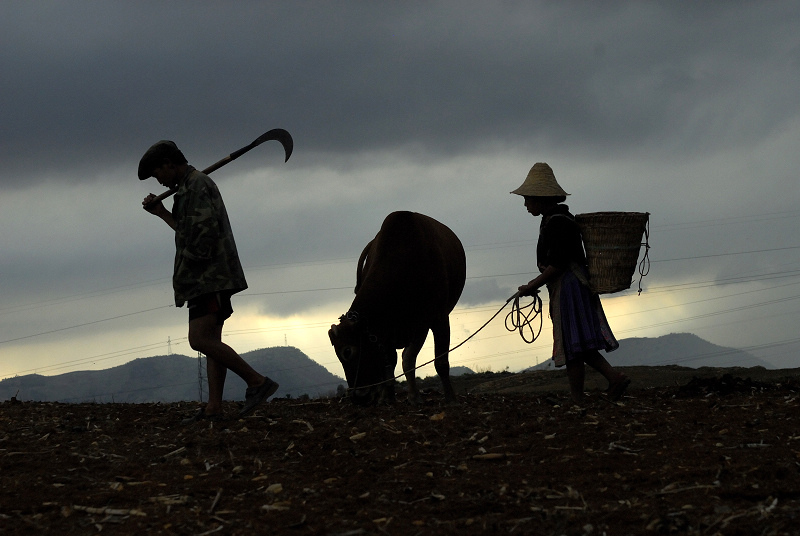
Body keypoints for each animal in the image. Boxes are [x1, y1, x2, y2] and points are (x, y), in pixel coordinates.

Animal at [328, 211, 466, 404]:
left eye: (347, 351)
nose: (358, 397)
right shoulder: (385, 333)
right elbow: (391, 364)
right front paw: (388, 397)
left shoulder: (435, 319)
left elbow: (435, 361)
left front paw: (448, 397)